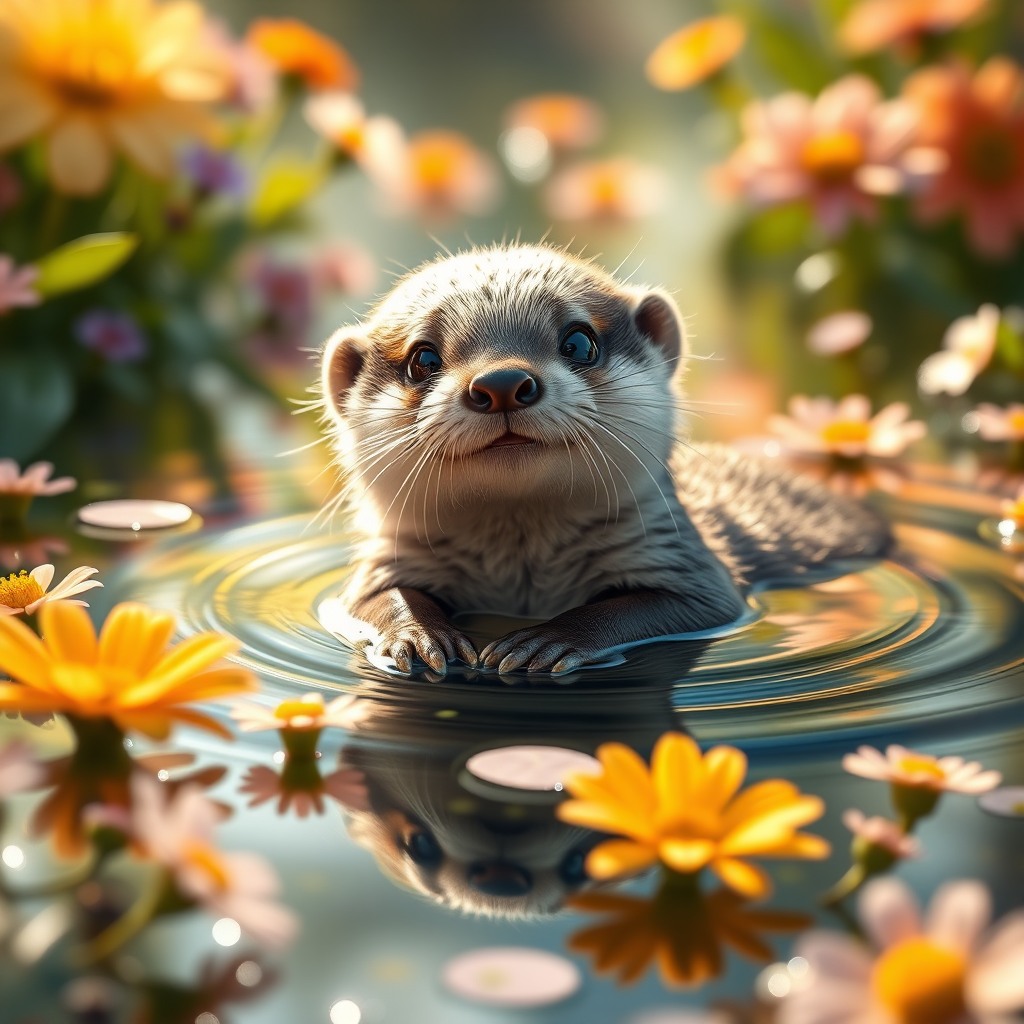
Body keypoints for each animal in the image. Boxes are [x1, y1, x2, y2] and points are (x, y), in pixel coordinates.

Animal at [319, 244, 889, 676]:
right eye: (423, 359)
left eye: (578, 341)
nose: (502, 382)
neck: (521, 584)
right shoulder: (382, 566)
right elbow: (370, 601)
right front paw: (416, 635)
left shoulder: (696, 574)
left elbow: (664, 606)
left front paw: (547, 641)